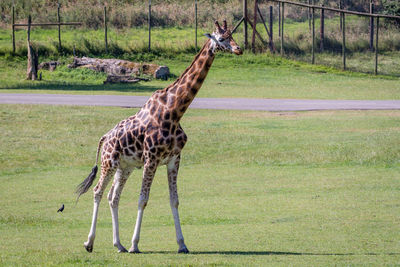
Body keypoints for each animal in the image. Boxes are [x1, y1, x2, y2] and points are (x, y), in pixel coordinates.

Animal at [76, 19, 242, 254]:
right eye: (221, 38)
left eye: (233, 35)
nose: (238, 49)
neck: (174, 111)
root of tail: (104, 137)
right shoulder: (151, 159)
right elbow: (142, 199)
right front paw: (135, 244)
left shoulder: (174, 159)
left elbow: (175, 200)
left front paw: (182, 244)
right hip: (109, 162)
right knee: (98, 191)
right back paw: (90, 243)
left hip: (125, 167)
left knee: (113, 197)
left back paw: (119, 244)